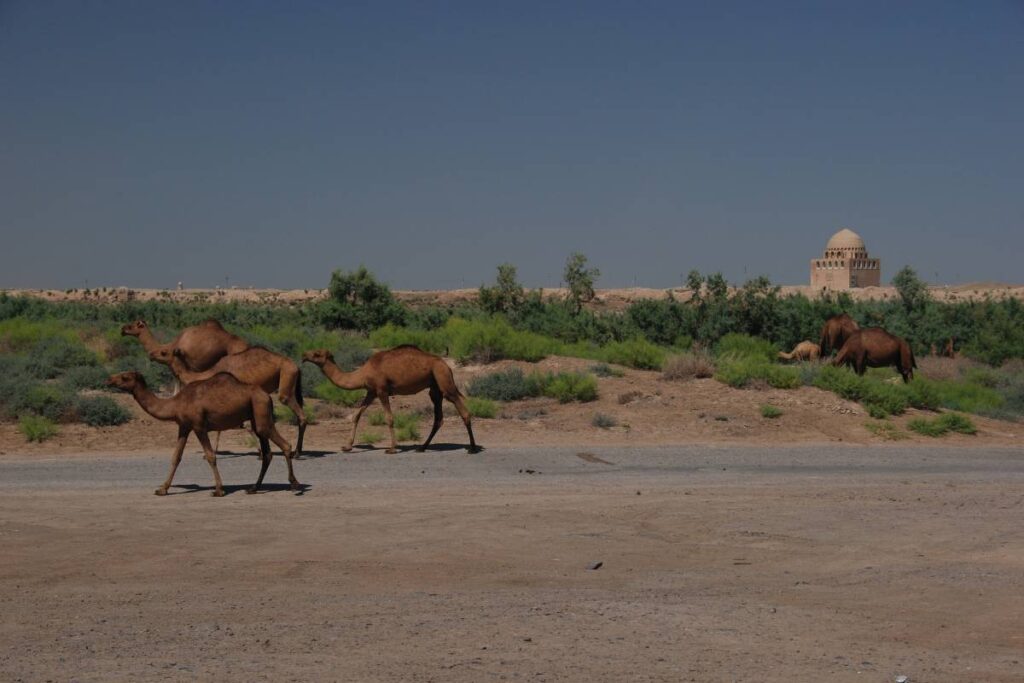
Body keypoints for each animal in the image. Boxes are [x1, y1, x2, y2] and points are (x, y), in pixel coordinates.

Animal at [105, 374, 299, 497]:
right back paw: (254, 488)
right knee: (267, 453)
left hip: (261, 412)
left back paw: (295, 485)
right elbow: (176, 457)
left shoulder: (199, 426)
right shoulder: (183, 427)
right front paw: (162, 489)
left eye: (125, 377)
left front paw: (219, 490)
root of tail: (267, 395)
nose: (109, 380)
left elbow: (210, 456)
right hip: (256, 416)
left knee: (285, 445)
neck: (176, 403)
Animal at [149, 344, 305, 456]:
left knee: (296, 411)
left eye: (164, 352)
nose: (150, 354)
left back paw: (297, 453)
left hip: (286, 377)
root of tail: (296, 366)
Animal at [301, 348, 481, 454]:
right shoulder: (371, 392)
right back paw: (422, 447)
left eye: (317, 354)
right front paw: (347, 447)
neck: (363, 373)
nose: (303, 355)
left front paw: (392, 448)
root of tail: (447, 365)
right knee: (438, 418)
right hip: (434, 386)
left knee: (463, 410)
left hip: (443, 378)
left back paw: (472, 448)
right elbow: (356, 415)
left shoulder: (382, 390)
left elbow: (389, 418)